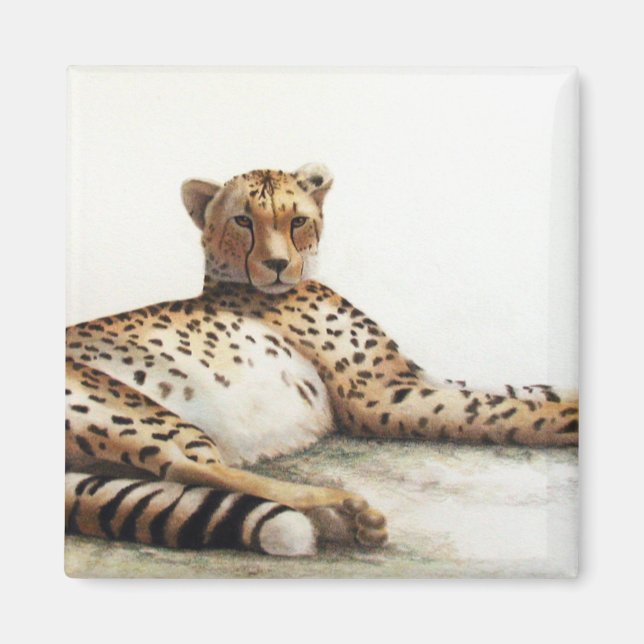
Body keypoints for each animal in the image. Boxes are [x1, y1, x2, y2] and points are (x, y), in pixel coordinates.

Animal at [66, 163, 579, 557]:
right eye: (242, 221)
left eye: (296, 221)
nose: (276, 265)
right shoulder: (382, 398)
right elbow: (508, 412)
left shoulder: (414, 376)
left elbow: (517, 391)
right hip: (127, 406)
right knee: (188, 466)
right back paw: (340, 513)